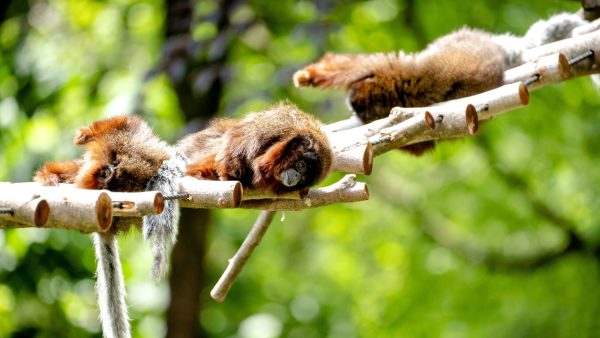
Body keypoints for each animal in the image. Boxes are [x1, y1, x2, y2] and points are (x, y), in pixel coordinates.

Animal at [178, 100, 332, 194]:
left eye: (304, 178)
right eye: (301, 166)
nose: (296, 176)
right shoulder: (275, 125)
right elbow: (237, 139)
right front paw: (232, 175)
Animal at [292, 11, 592, 154]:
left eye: (357, 104)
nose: (350, 105)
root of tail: (502, 54)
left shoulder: (392, 70)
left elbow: (352, 66)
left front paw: (308, 76)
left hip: (464, 38)